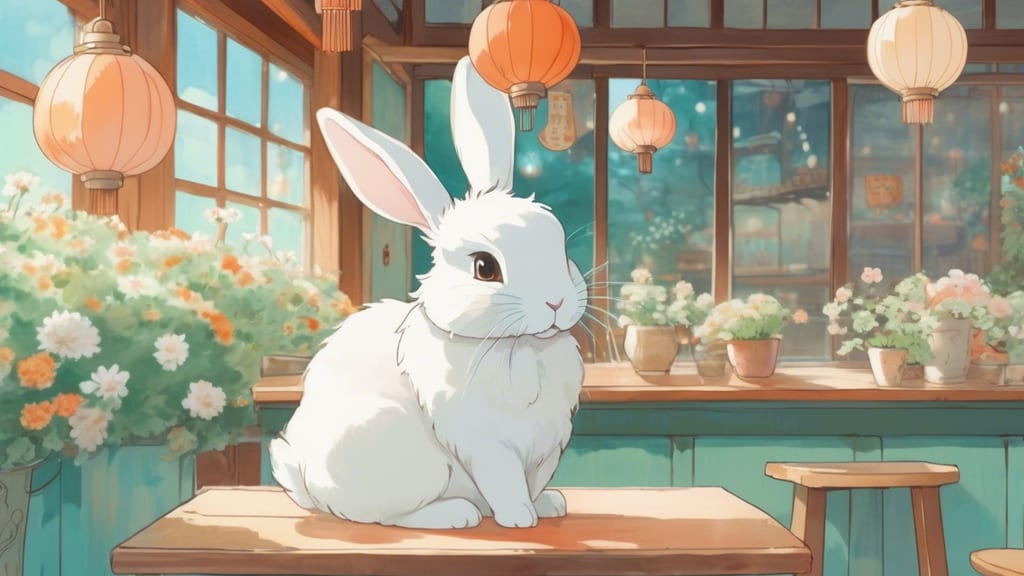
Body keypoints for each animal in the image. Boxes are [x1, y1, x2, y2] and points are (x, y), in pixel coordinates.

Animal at [267, 56, 587, 530]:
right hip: (407, 456)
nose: (556, 302)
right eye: (484, 267)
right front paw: (518, 519)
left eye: (560, 245)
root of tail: (309, 485)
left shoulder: (547, 445)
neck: (519, 346)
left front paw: (548, 505)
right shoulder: (486, 443)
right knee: (384, 516)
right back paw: (456, 514)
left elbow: (533, 480)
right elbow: (505, 480)